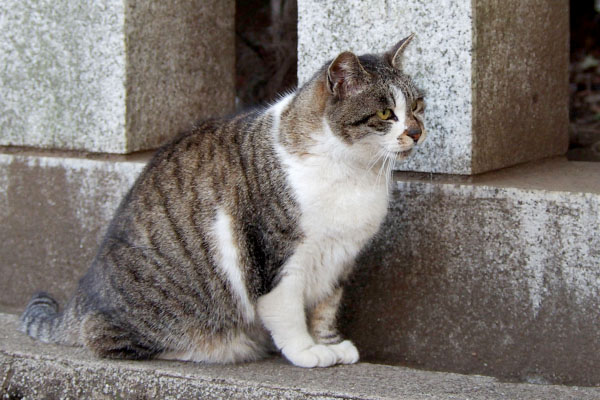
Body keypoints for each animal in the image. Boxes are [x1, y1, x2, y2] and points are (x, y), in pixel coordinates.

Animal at [19, 32, 426, 368]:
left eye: (418, 105)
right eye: (386, 113)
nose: (416, 132)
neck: (354, 170)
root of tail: (83, 294)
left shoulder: (339, 260)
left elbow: (325, 308)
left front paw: (329, 343)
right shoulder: (278, 259)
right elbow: (289, 312)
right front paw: (308, 351)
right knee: (104, 337)